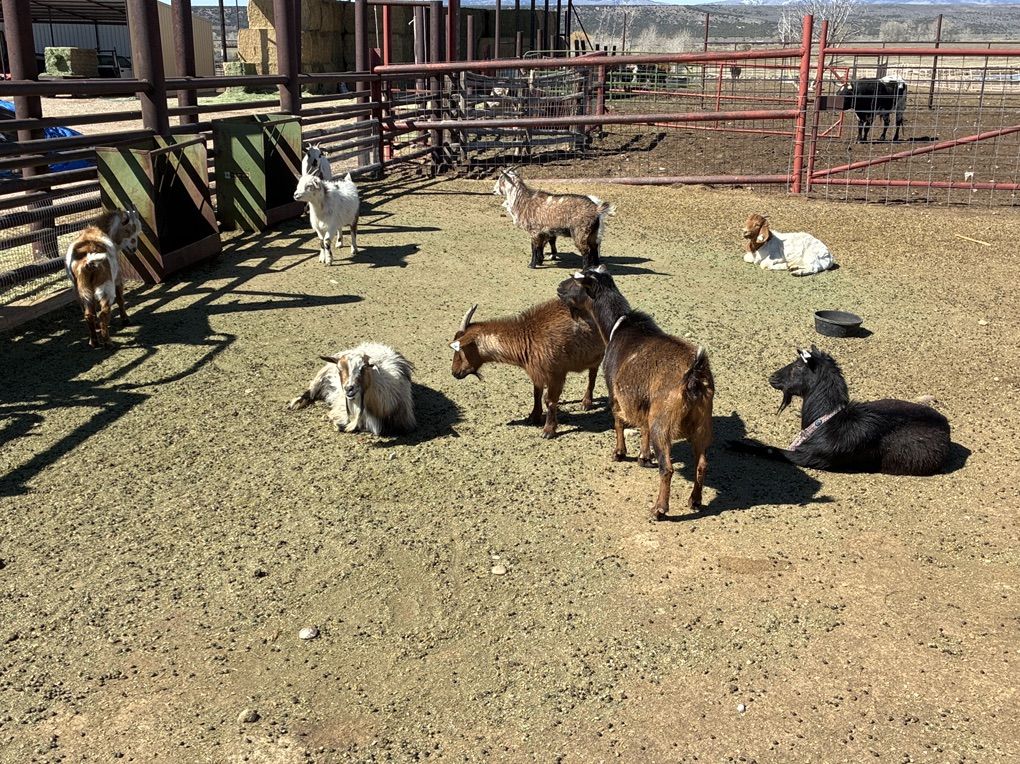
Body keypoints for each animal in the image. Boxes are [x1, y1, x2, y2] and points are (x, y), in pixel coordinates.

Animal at [65, 209, 140, 348]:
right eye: (128, 230)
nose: (134, 249)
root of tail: (88, 262)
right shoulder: (117, 277)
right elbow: (120, 298)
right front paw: (125, 319)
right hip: (105, 285)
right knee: (104, 312)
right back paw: (107, 342)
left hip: (81, 290)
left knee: (88, 314)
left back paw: (94, 342)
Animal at [288, 342, 416, 436]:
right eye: (339, 369)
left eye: (363, 368)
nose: (349, 388)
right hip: (322, 375)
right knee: (311, 390)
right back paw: (296, 403)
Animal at [449, 301, 603, 439]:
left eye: (460, 350)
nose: (455, 372)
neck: (530, 337)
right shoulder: (538, 373)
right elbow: (536, 394)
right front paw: (533, 417)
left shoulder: (556, 373)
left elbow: (550, 400)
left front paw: (548, 430)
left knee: (592, 375)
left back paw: (586, 402)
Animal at [556, 267, 714, 519]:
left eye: (576, 280)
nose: (559, 288)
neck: (617, 327)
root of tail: (695, 376)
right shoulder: (643, 402)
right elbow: (643, 428)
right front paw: (643, 457)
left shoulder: (614, 391)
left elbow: (619, 421)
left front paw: (620, 453)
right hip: (702, 424)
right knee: (701, 464)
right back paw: (695, 500)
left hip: (663, 423)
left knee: (667, 468)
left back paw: (659, 509)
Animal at [730, 346, 951, 475]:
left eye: (798, 367)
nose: (772, 377)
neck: (826, 420)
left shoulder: (810, 457)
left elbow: (770, 449)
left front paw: (735, 444)